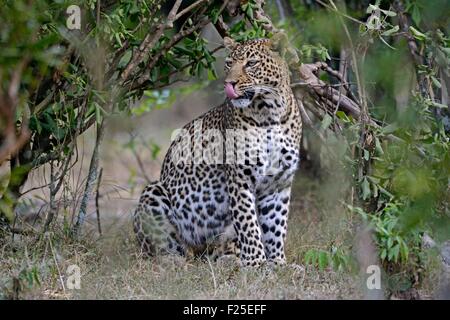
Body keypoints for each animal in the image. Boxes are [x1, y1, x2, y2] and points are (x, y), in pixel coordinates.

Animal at [134, 35, 302, 268]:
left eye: (251, 63)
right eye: (229, 63)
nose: (229, 83)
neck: (270, 113)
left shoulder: (278, 182)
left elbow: (275, 226)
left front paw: (277, 263)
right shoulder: (240, 178)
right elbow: (248, 224)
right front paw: (257, 264)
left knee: (218, 252)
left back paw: (229, 259)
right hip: (154, 193)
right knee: (167, 248)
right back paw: (176, 260)